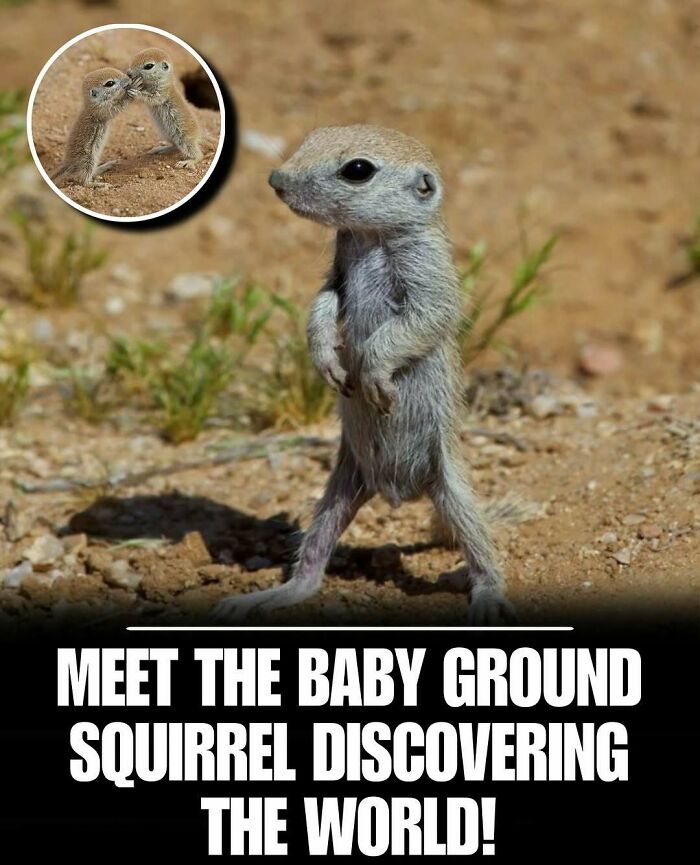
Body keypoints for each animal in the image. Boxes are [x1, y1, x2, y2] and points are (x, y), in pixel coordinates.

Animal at [213, 125, 515, 626]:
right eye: (314, 135)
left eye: (358, 169)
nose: (276, 179)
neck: (369, 237)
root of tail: (400, 491)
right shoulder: (336, 269)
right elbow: (323, 302)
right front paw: (326, 358)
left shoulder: (429, 274)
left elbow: (417, 321)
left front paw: (373, 372)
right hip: (338, 489)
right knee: (314, 559)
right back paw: (271, 595)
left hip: (453, 488)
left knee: (478, 543)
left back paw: (489, 596)